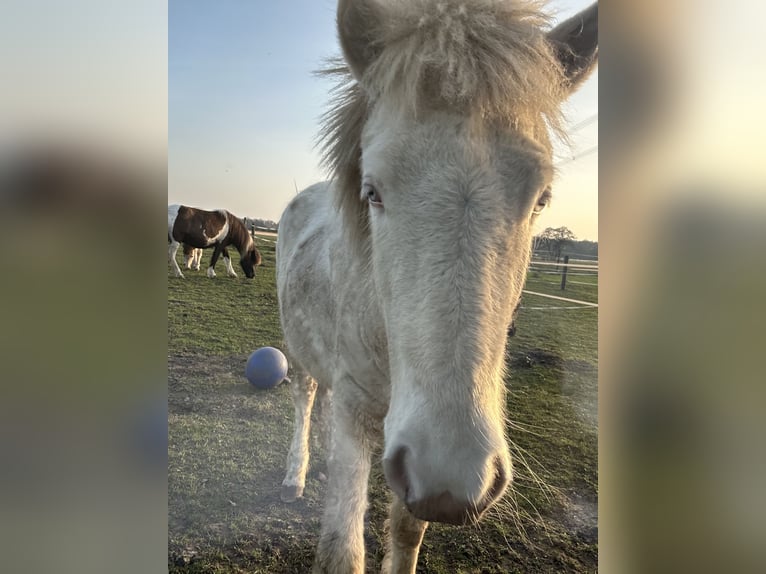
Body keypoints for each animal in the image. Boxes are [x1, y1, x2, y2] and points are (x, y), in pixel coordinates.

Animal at [275, 1, 598, 572]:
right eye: (372, 191)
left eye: (540, 198)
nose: (455, 474)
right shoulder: (358, 414)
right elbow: (342, 550)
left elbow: (407, 535)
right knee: (305, 397)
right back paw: (295, 476)